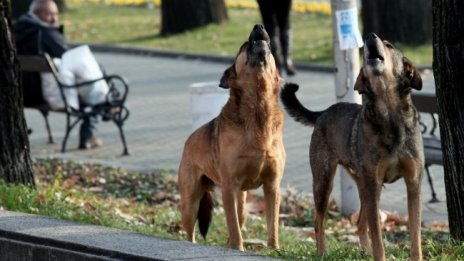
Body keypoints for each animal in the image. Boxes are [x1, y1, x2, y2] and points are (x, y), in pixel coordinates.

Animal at [179, 24, 284, 250]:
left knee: (239, 218)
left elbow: (272, 224)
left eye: (270, 47)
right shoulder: (229, 186)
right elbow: (234, 228)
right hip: (190, 202)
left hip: (241, 203)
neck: (258, 111)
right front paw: (239, 248)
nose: (259, 26)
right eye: (244, 45)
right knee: (191, 232)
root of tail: (188, 140)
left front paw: (274, 249)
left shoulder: (272, 186)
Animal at [280, 33, 424, 260]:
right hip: (325, 181)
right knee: (319, 221)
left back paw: (364, 251)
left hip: (364, 185)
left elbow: (415, 233)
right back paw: (322, 252)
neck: (389, 116)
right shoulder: (374, 182)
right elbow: (377, 237)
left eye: (389, 45)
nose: (369, 36)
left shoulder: (413, 182)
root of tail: (323, 113)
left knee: (359, 223)